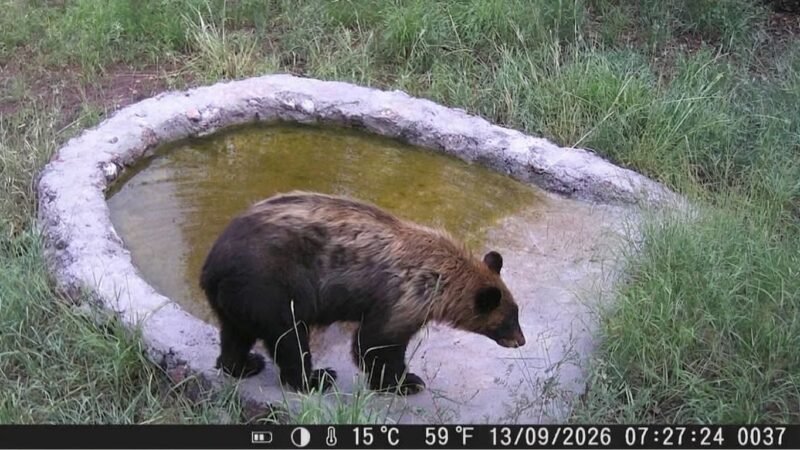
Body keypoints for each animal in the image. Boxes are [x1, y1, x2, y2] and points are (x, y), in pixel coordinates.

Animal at [199, 191, 526, 395]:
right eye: (509, 319)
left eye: (516, 313)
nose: (521, 341)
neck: (440, 277)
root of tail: (212, 266)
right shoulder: (402, 296)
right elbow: (376, 342)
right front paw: (405, 382)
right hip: (271, 286)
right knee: (289, 336)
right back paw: (315, 378)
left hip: (239, 298)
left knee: (236, 333)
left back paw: (243, 365)